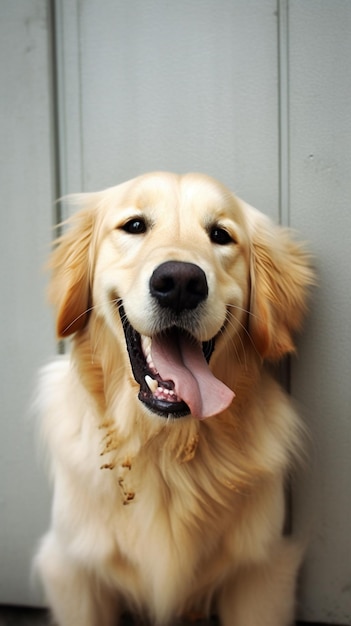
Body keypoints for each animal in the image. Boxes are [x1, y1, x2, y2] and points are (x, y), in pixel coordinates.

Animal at [34, 171, 314, 624]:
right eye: (134, 225)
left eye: (220, 235)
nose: (181, 282)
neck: (164, 448)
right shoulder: (72, 570)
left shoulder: (261, 573)